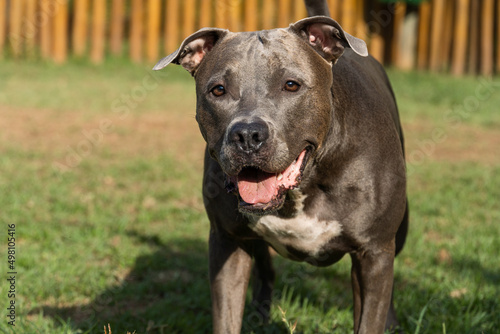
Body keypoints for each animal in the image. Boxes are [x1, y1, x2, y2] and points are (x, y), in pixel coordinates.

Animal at [154, 1, 408, 332]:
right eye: (218, 90)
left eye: (291, 85)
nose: (247, 135)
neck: (304, 185)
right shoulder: (227, 242)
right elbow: (226, 318)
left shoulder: (373, 252)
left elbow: (369, 318)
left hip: (397, 235)